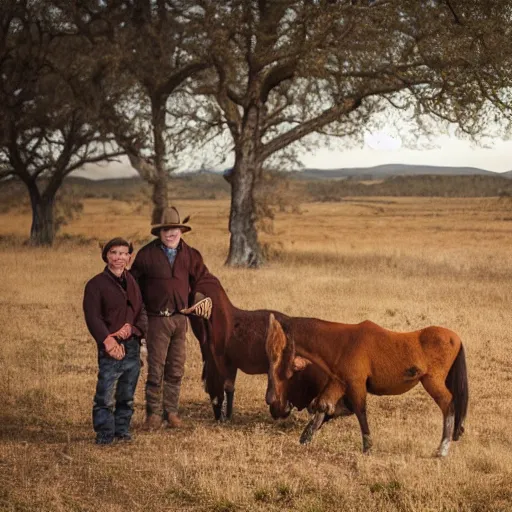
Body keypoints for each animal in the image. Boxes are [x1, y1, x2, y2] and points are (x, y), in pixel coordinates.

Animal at [266, 314, 470, 458]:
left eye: (279, 350)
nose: (272, 402)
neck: (342, 343)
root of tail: (456, 338)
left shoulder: (356, 385)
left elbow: (360, 411)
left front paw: (368, 447)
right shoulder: (339, 382)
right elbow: (324, 406)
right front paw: (306, 436)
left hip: (433, 382)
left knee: (449, 405)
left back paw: (443, 448)